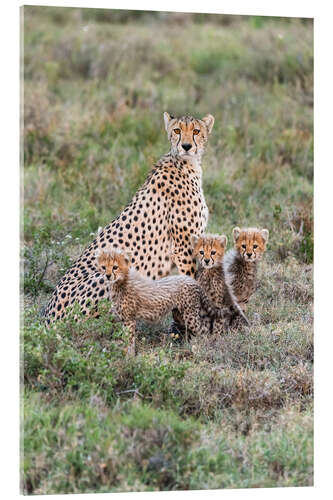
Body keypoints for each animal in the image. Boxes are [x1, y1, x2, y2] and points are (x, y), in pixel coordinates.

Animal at [43, 112, 213, 324]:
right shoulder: (183, 248)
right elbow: (191, 282)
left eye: (196, 131)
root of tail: (46, 318)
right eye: (177, 130)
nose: (187, 146)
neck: (186, 163)